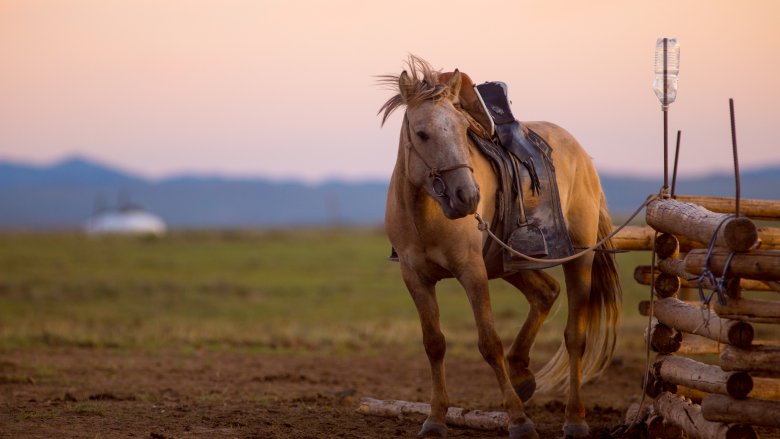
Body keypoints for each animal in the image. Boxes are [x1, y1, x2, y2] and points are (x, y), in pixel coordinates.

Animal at [378, 55, 620, 439]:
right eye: (422, 133)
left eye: (464, 130)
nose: (467, 196)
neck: (425, 215)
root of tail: (582, 155)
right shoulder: (415, 278)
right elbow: (434, 343)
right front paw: (435, 419)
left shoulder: (472, 272)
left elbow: (489, 343)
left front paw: (519, 421)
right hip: (509, 264)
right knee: (545, 293)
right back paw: (521, 373)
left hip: (578, 260)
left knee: (575, 337)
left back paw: (575, 419)